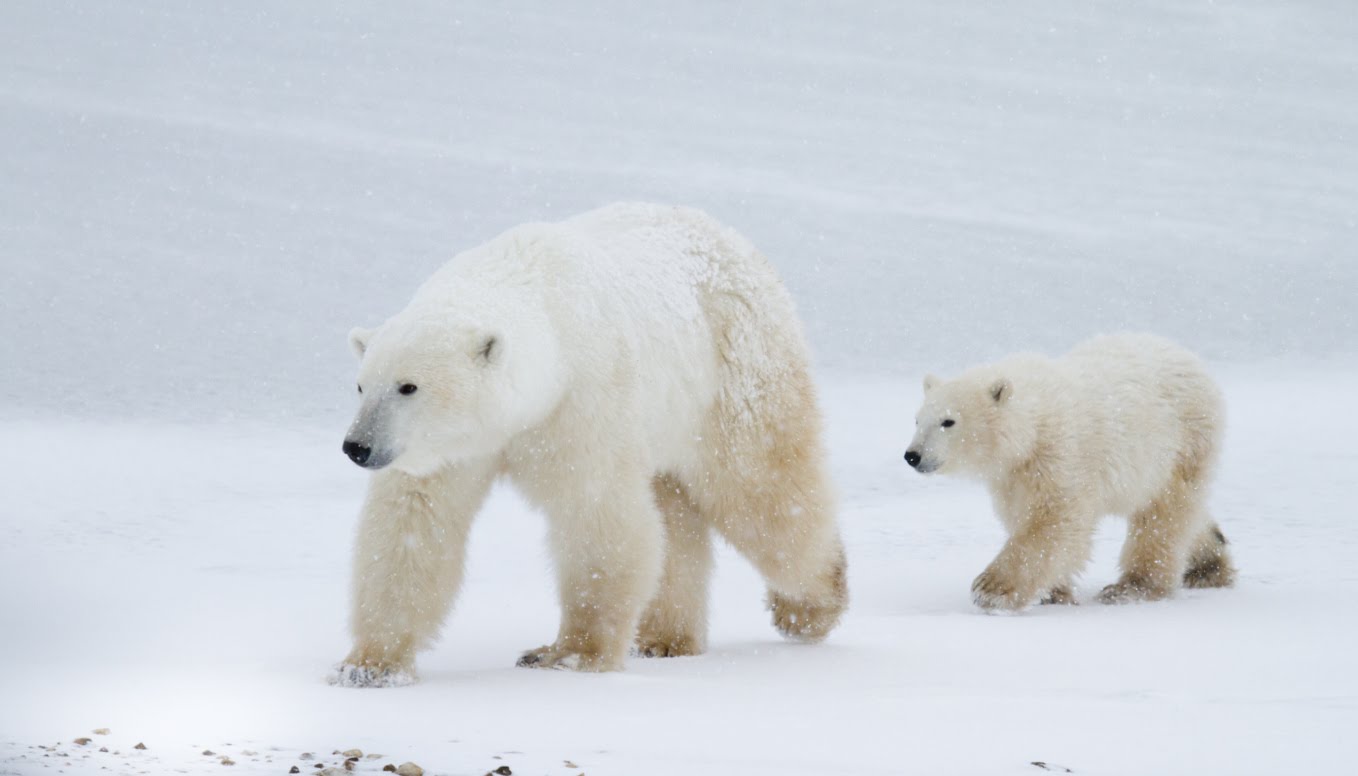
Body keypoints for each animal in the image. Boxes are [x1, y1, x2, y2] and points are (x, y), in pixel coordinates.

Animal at [331, 202, 836, 684]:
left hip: (734, 371)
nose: (357, 447)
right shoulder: (451, 449)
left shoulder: (584, 399)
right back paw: (665, 639)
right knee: (674, 515)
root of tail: (737, 243)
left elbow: (595, 513)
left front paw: (568, 655)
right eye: (361, 386)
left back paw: (811, 607)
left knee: (761, 494)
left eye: (408, 386)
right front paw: (369, 665)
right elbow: (412, 523)